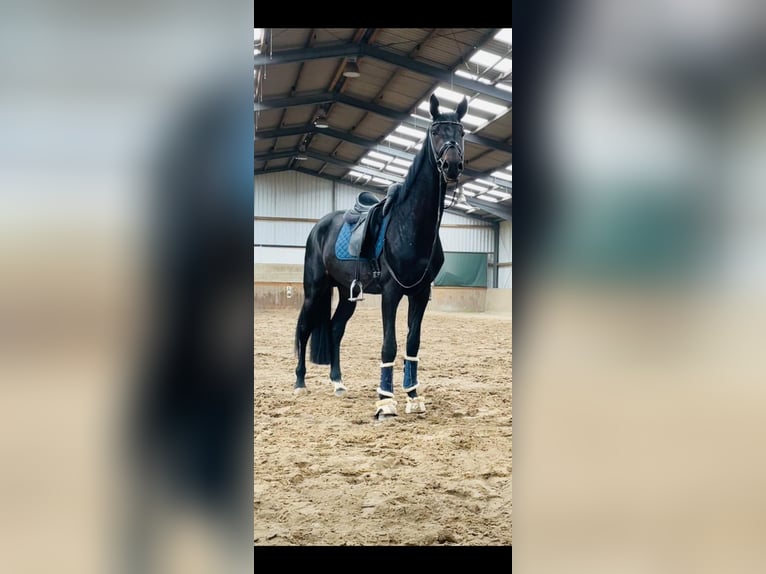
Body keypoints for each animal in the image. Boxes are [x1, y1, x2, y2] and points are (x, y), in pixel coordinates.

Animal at [293, 93, 467, 420]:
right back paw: (299, 382)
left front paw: (413, 396)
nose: (452, 165)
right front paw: (386, 401)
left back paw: (338, 383)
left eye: (461, 133)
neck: (411, 224)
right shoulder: (391, 292)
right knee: (304, 328)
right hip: (315, 290)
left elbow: (412, 343)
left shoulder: (420, 294)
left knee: (335, 329)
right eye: (436, 131)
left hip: (346, 294)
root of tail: (319, 226)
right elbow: (390, 345)